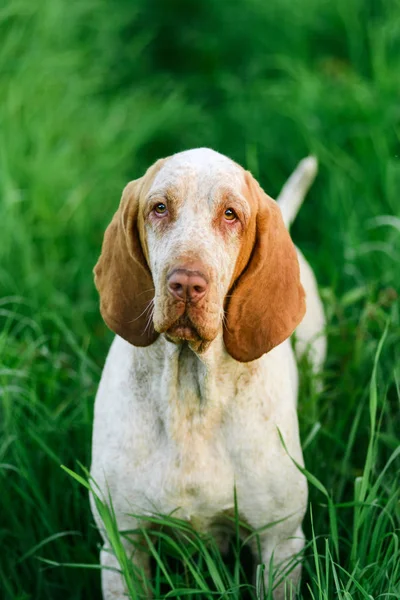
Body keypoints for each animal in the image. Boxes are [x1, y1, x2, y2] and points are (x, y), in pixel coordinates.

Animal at [90, 148, 324, 596]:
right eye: (159, 208)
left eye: (231, 214)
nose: (186, 284)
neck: (191, 395)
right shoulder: (121, 544)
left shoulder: (279, 545)